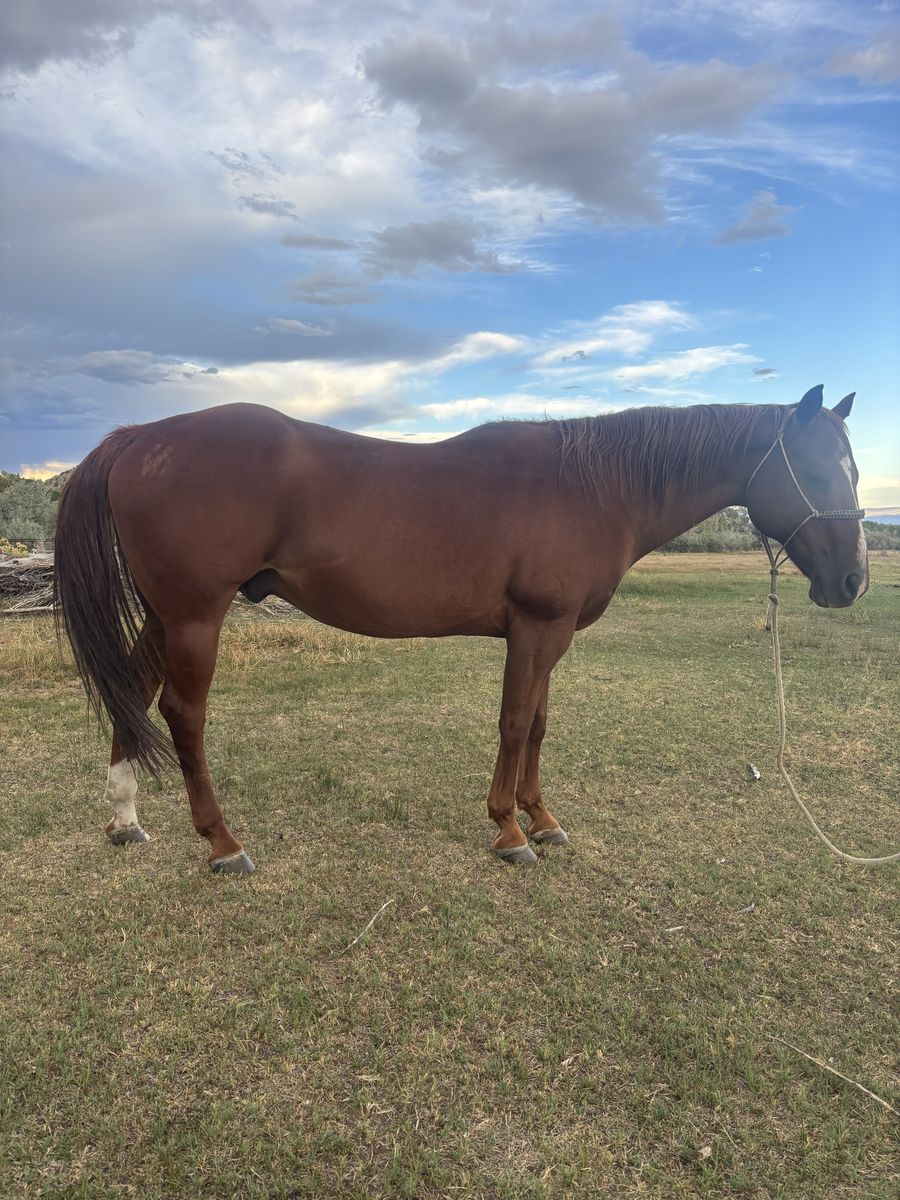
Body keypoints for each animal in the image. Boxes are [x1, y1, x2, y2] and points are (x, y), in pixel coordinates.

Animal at [54, 384, 867, 873]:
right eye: (817, 470)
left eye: (853, 469)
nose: (854, 581)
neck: (592, 488)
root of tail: (140, 438)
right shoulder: (536, 628)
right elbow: (512, 722)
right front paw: (509, 832)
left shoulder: (552, 633)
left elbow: (537, 724)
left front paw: (544, 820)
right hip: (197, 614)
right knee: (182, 714)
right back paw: (223, 842)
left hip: (167, 613)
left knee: (134, 688)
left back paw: (124, 818)